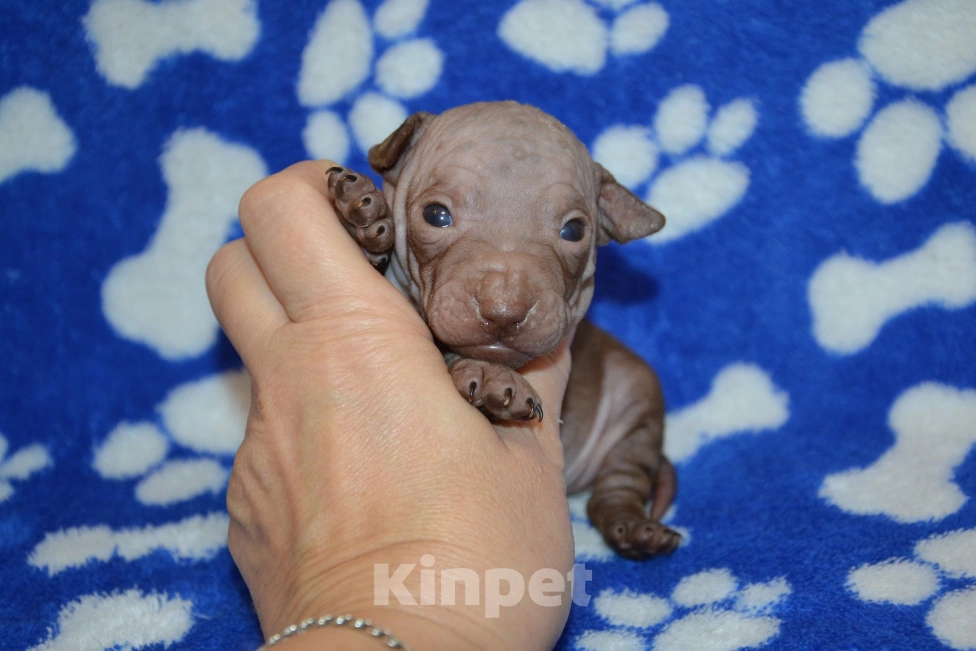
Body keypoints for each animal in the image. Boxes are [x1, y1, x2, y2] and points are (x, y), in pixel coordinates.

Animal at [326, 102, 680, 560]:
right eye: (436, 215)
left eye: (574, 230)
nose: (504, 310)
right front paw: (360, 221)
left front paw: (489, 374)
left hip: (637, 397)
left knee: (617, 488)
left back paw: (634, 528)